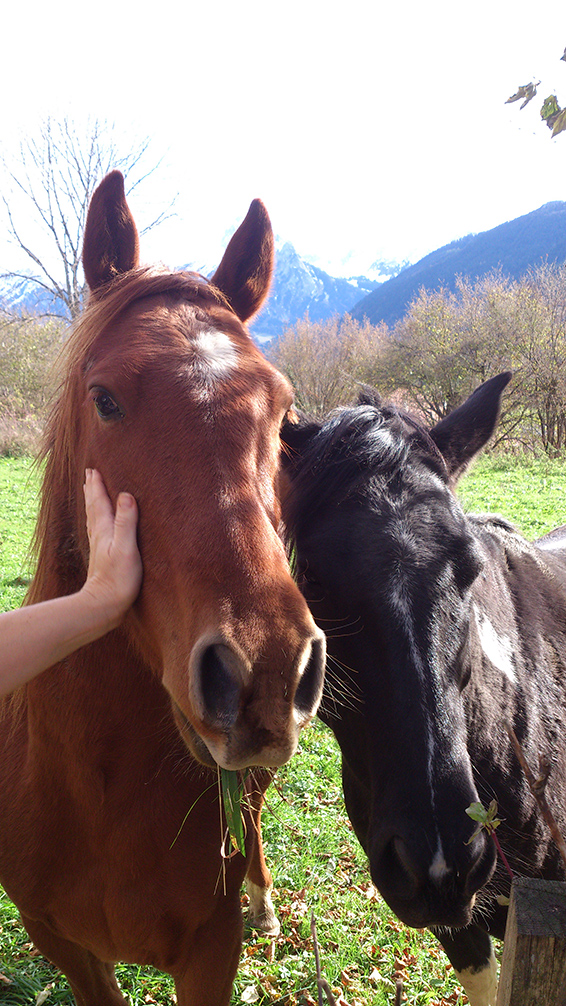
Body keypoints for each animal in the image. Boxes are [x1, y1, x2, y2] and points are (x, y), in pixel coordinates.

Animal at [0, 173, 323, 1006]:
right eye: (106, 398)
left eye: (283, 412)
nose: (262, 671)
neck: (100, 794)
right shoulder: (65, 946)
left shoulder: (209, 953)